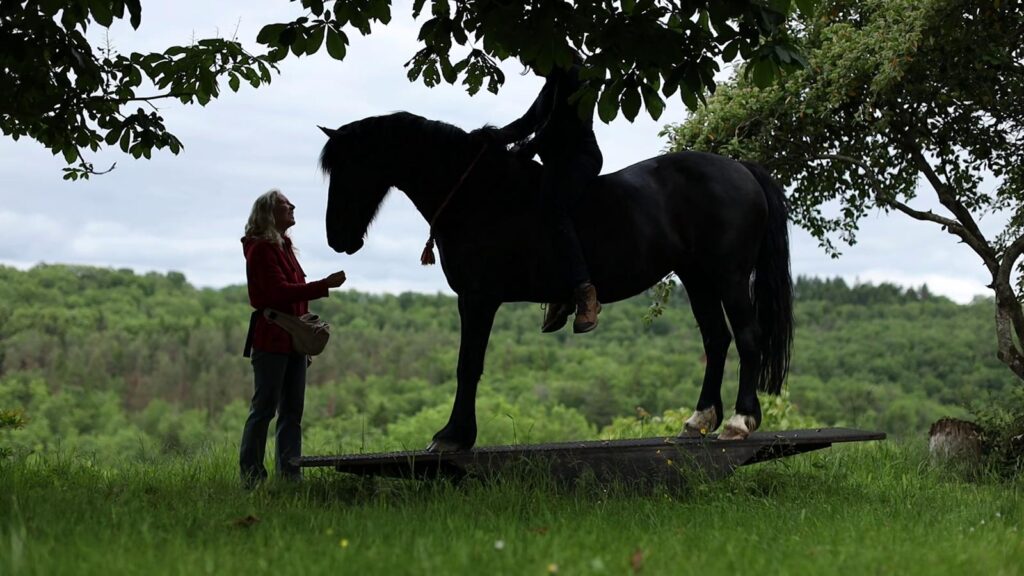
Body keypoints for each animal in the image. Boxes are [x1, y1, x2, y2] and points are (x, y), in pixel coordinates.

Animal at [318, 111, 793, 451]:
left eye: (352, 167)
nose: (337, 238)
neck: (479, 195)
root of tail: (742, 170)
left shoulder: (477, 298)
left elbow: (467, 365)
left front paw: (453, 436)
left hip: (729, 275)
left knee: (747, 337)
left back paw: (739, 421)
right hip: (698, 279)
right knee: (716, 339)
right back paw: (699, 420)